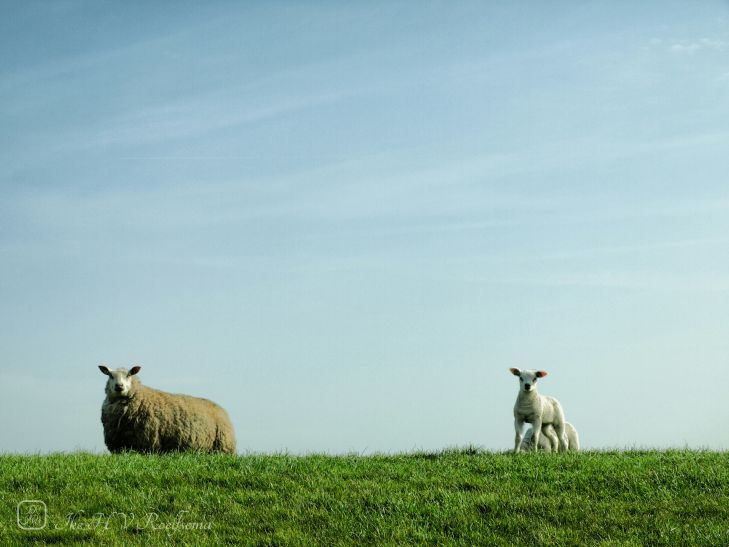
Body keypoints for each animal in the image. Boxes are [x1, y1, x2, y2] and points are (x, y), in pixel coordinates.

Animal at [98, 368, 235, 454]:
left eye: (129, 374)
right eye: (110, 375)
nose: (119, 386)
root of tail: (221, 409)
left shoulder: (146, 441)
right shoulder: (118, 443)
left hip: (222, 447)